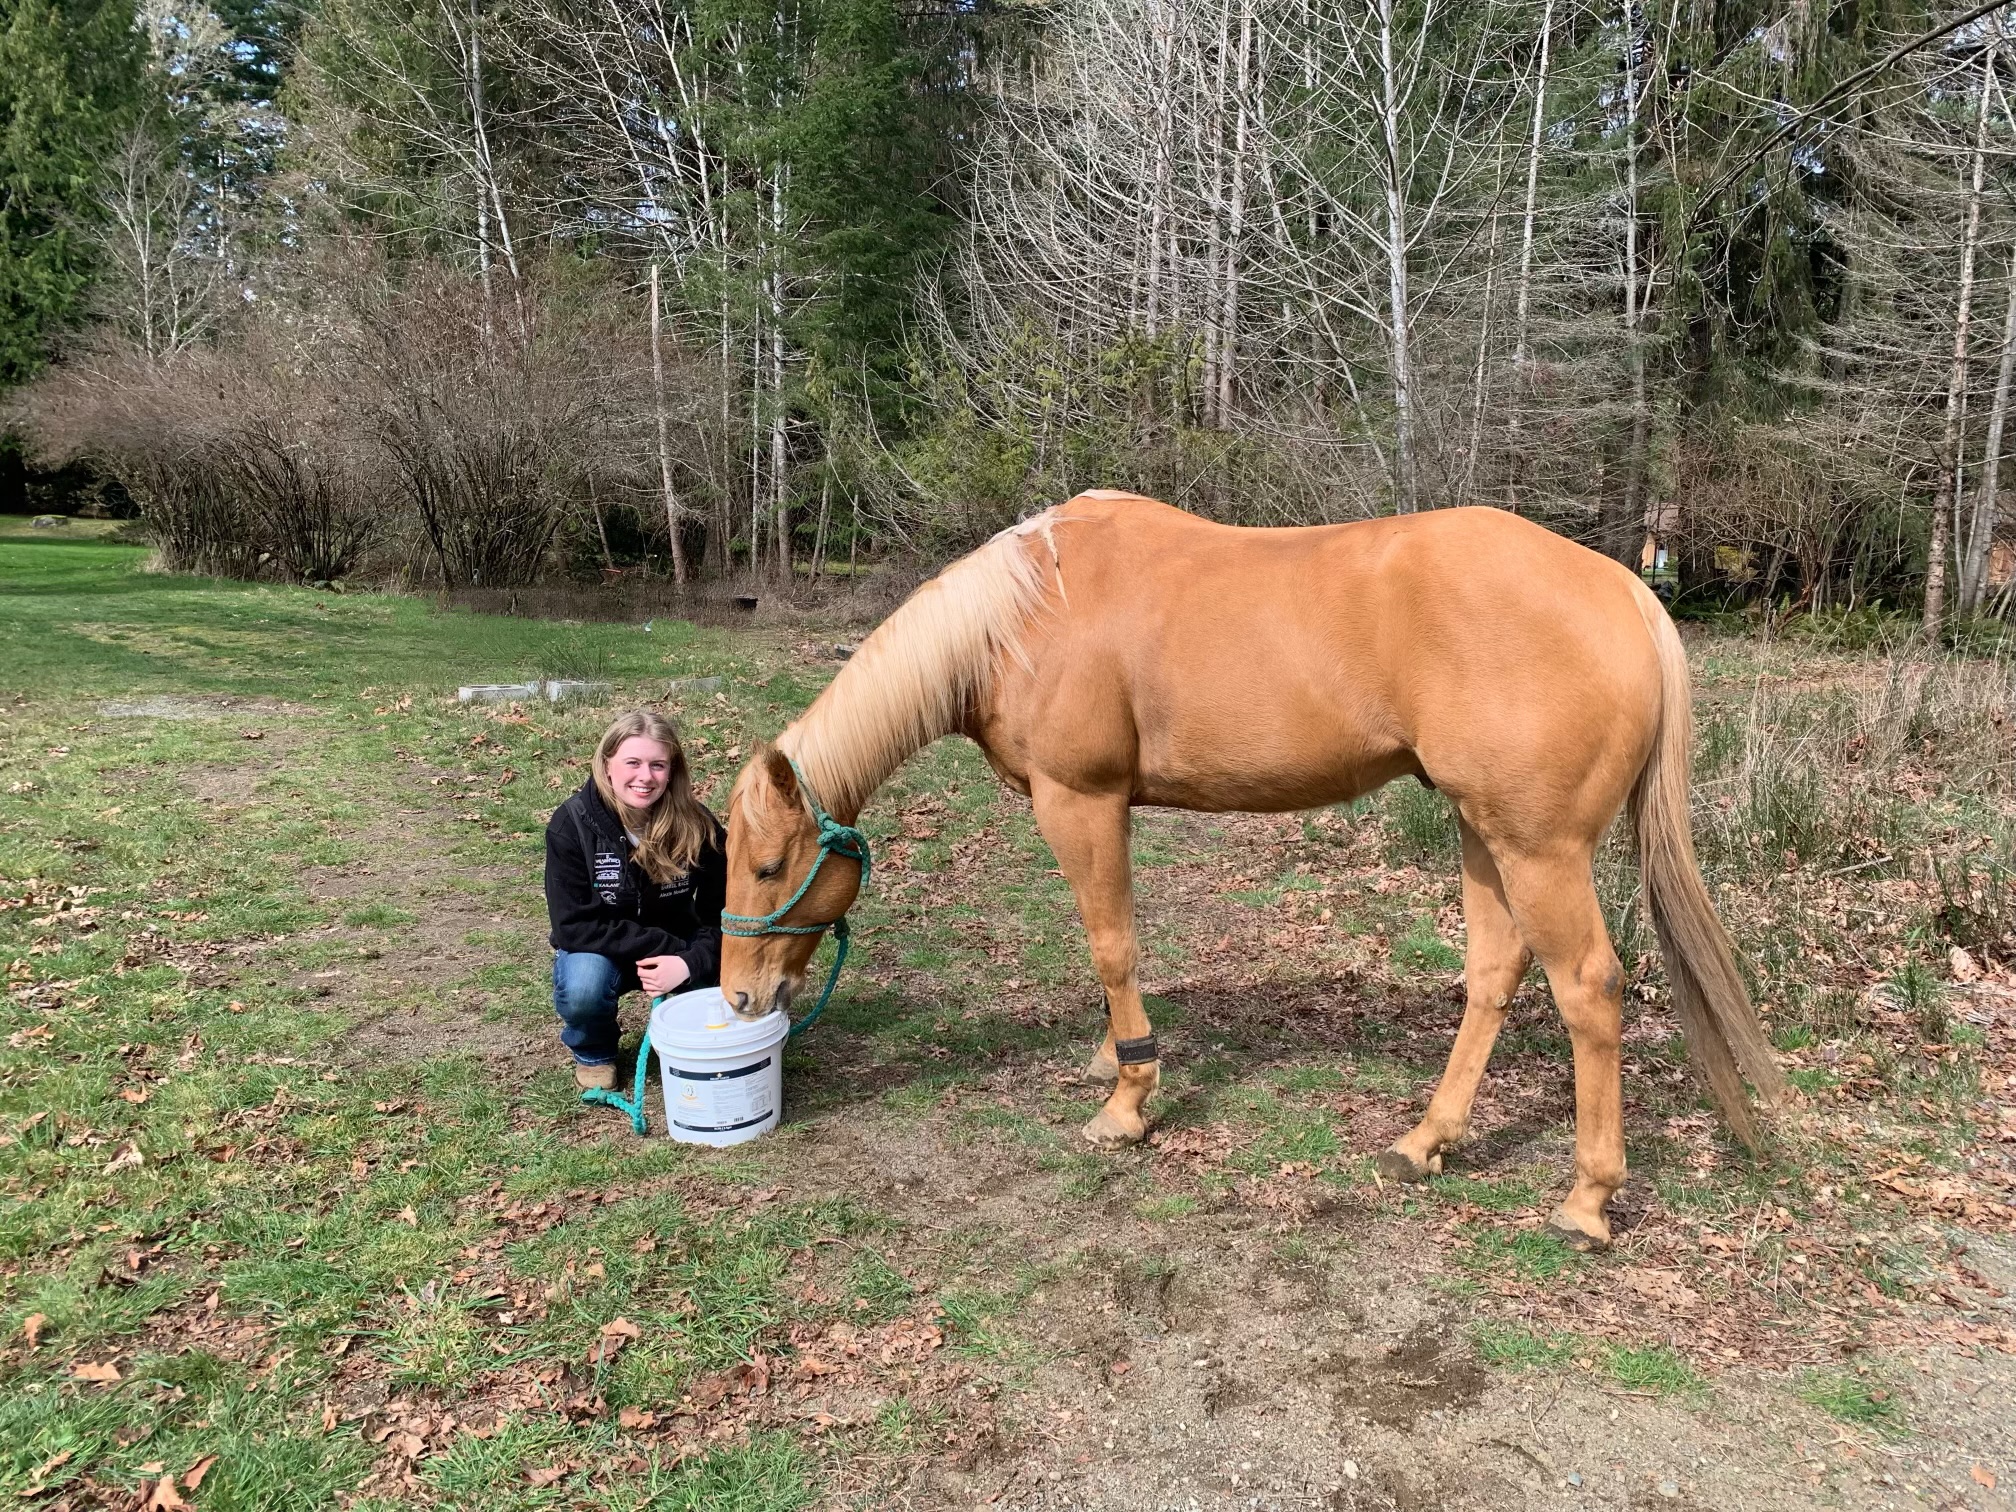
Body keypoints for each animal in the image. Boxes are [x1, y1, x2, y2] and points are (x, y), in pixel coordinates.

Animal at [719, 491, 1783, 1250]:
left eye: (770, 866)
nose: (739, 997)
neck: (1026, 611)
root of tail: (1625, 591)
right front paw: (1111, 1058)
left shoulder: (1081, 802)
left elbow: (1111, 945)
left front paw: (1127, 1100)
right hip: (1487, 836)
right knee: (1493, 973)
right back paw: (1426, 1141)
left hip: (1540, 850)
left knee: (1589, 989)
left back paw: (1587, 1198)